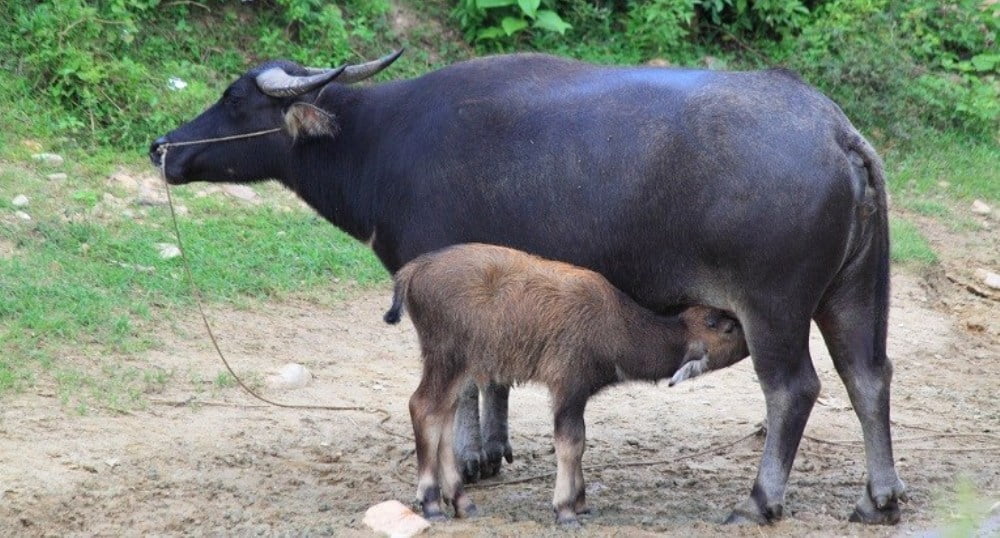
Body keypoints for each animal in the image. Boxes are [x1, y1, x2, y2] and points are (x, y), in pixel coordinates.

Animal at [152, 51, 912, 524]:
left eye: (234, 99)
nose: (163, 147)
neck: (379, 141)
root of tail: (836, 132)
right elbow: (494, 377)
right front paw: (490, 452)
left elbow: (462, 386)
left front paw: (463, 462)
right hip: (853, 293)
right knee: (868, 376)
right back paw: (878, 499)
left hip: (772, 307)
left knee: (794, 389)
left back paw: (758, 501)